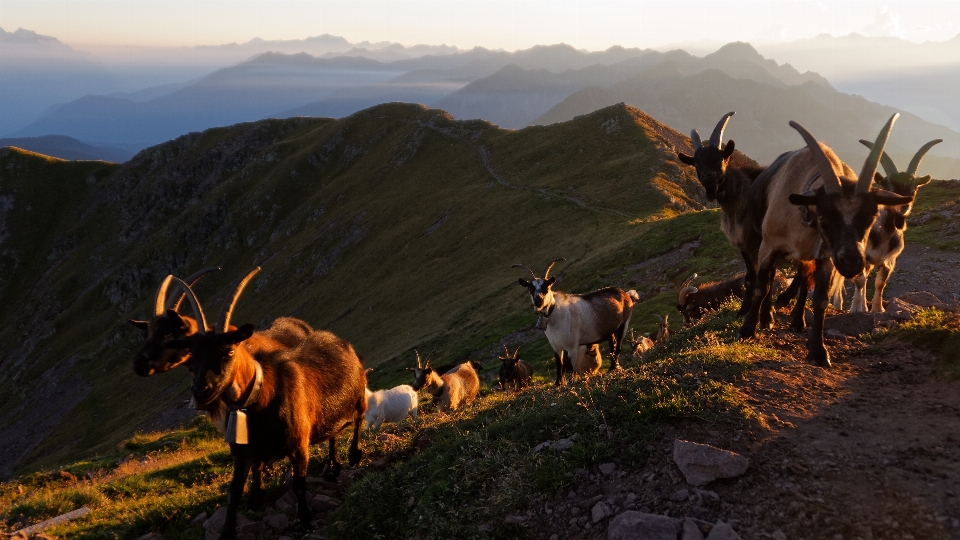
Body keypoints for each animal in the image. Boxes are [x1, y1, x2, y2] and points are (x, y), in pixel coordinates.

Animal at [512, 260, 640, 386]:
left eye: (546, 287)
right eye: (530, 289)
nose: (539, 301)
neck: (556, 315)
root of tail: (627, 294)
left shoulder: (572, 345)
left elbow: (570, 367)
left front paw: (571, 382)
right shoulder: (556, 345)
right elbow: (560, 365)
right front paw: (558, 384)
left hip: (624, 324)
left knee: (617, 348)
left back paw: (613, 369)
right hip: (609, 330)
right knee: (612, 347)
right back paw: (611, 368)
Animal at [744, 114, 916, 368]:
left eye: (871, 215)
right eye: (825, 215)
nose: (852, 263)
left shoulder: (826, 256)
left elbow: (821, 300)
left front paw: (818, 351)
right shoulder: (769, 246)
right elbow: (761, 286)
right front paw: (747, 329)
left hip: (809, 257)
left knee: (805, 280)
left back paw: (797, 321)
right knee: (771, 277)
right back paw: (767, 318)